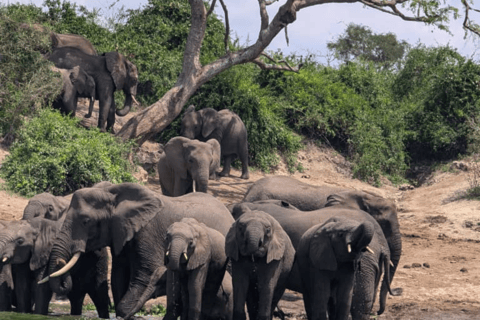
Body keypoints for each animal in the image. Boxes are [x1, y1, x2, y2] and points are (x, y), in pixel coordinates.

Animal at [40, 182, 235, 320]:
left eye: (86, 221)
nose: (61, 262)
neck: (113, 192)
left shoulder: (147, 232)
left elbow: (144, 275)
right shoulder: (121, 233)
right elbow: (118, 276)